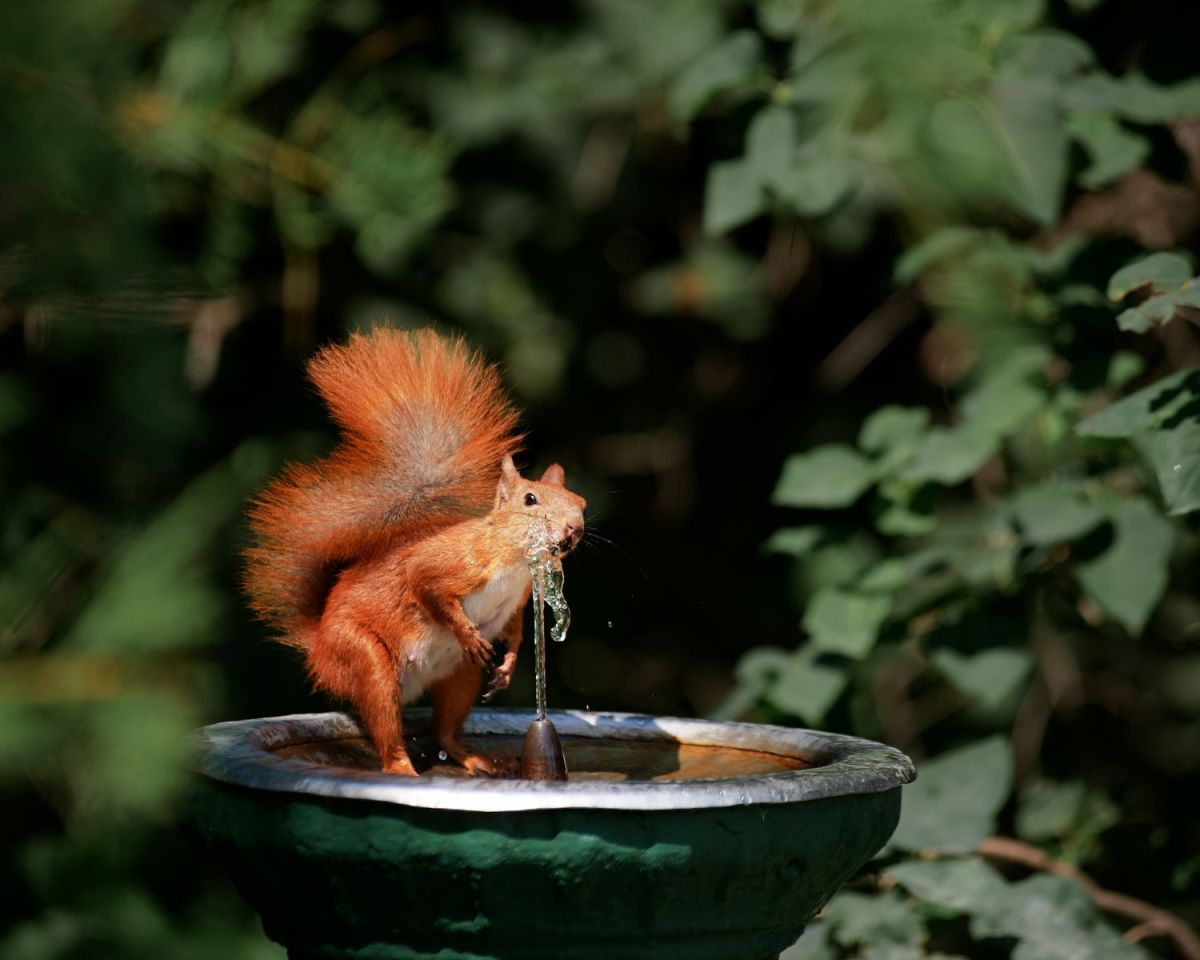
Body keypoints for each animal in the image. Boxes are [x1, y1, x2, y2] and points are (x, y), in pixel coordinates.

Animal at [243, 328, 586, 776]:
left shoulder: (517, 600)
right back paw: (402, 767)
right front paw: (466, 631)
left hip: (458, 675)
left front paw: (507, 667)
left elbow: (512, 631)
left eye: (581, 503)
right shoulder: (453, 561)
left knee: (445, 730)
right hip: (364, 660)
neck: (511, 563)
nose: (574, 529)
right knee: (386, 727)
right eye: (530, 500)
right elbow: (425, 583)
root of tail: (318, 649)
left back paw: (475, 757)